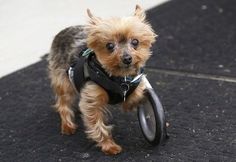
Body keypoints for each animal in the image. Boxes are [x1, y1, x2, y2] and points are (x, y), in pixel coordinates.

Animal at [47, 4, 156, 154]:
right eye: (110, 46)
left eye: (135, 42)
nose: (127, 58)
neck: (118, 78)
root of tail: (63, 31)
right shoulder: (92, 98)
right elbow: (97, 124)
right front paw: (109, 146)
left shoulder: (135, 85)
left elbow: (134, 97)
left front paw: (132, 103)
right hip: (63, 80)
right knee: (63, 102)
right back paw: (67, 126)